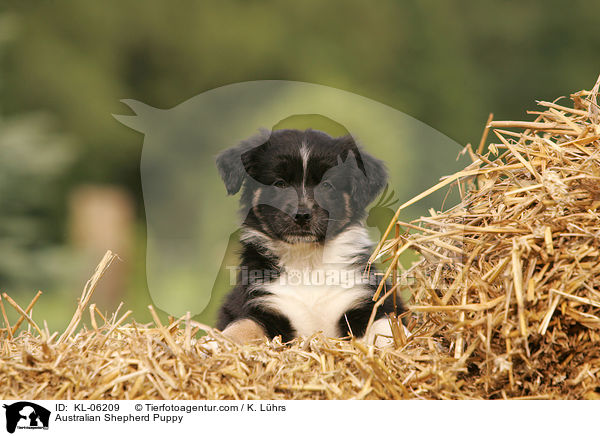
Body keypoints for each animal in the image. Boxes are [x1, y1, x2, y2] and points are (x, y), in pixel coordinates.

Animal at [213, 127, 406, 346]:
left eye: (327, 185)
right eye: (280, 183)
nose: (302, 215)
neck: (307, 261)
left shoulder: (368, 299)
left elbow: (386, 325)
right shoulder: (259, 302)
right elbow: (243, 326)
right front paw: (213, 343)